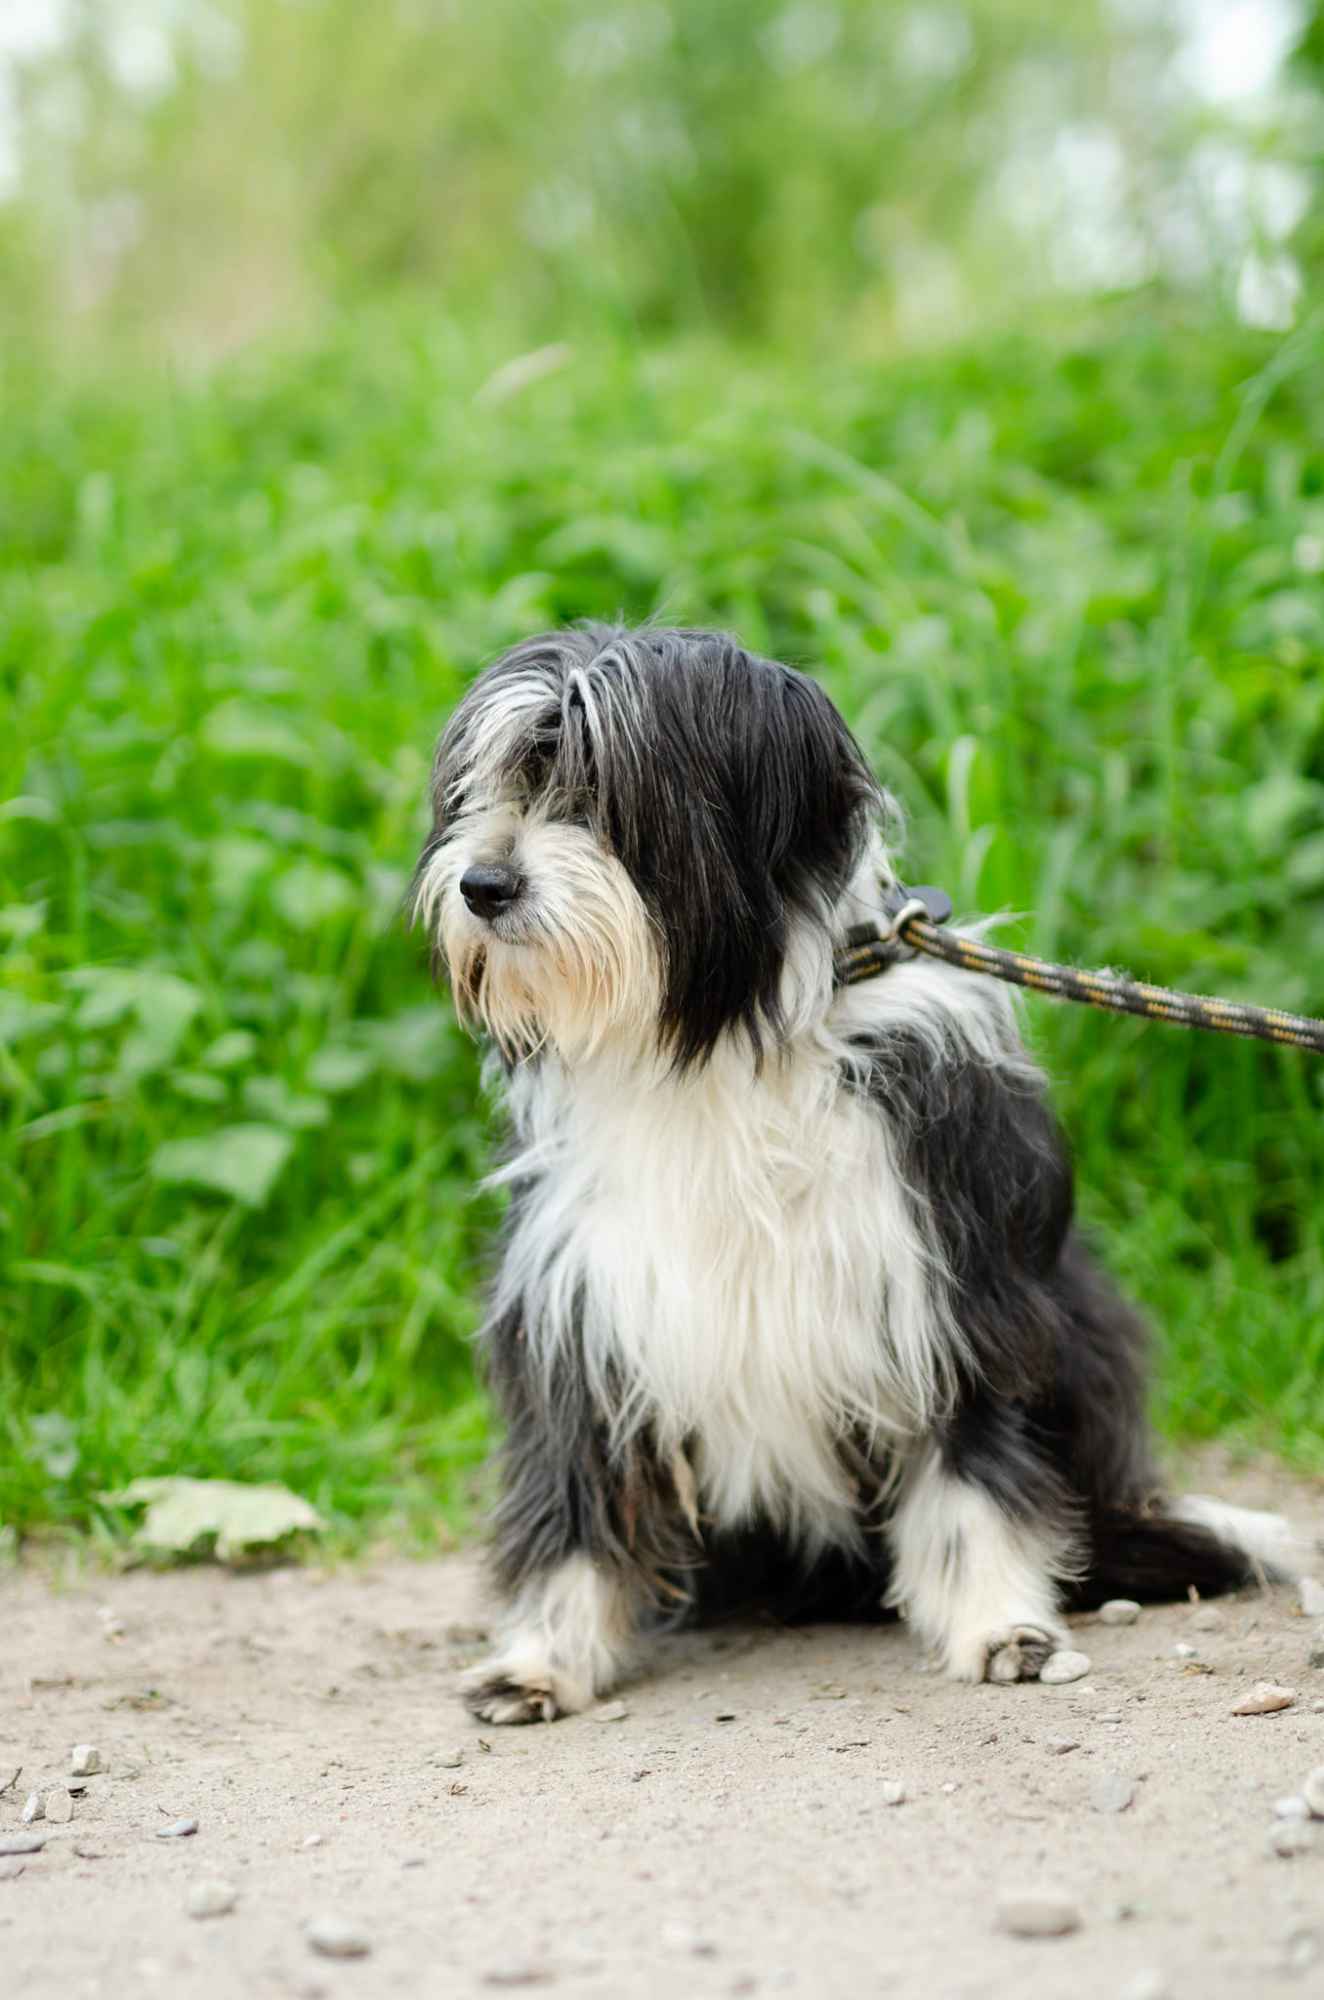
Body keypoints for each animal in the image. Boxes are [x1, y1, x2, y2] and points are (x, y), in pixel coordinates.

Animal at [420, 624, 1312, 1720]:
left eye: (601, 793)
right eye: (484, 786)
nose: (483, 886)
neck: (722, 1049)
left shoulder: (946, 1281)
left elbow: (973, 1468)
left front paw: (999, 1623)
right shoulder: (584, 1298)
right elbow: (575, 1489)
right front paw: (542, 1654)